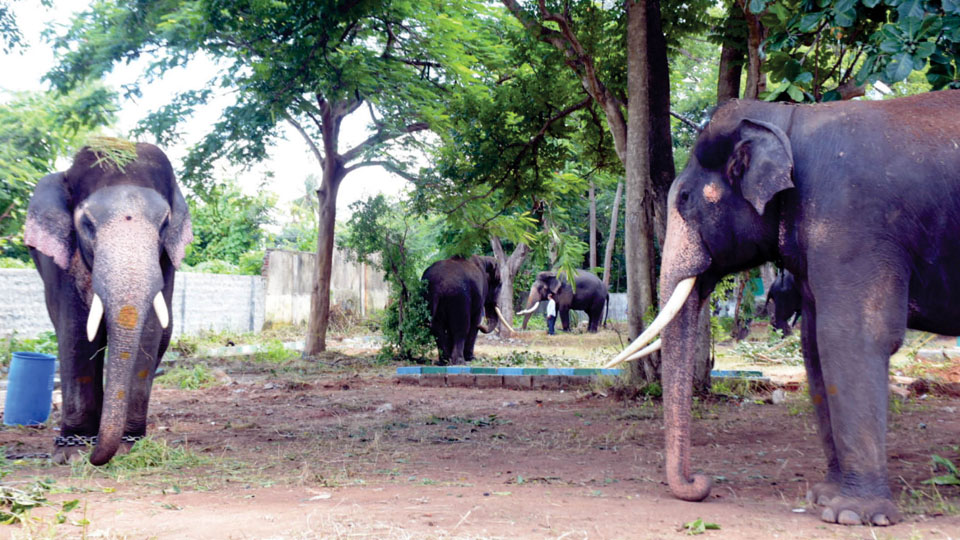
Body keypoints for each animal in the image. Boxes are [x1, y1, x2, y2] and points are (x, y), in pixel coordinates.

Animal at [23, 139, 193, 464]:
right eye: (87, 224)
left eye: (164, 224)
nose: (95, 457)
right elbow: (75, 328)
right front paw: (73, 452)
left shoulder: (165, 259)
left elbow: (150, 330)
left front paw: (127, 447)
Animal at [612, 93, 960, 528]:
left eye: (685, 200)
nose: (701, 482)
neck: (787, 120)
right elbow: (813, 345)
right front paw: (823, 497)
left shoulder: (853, 223)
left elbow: (850, 337)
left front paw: (852, 516)